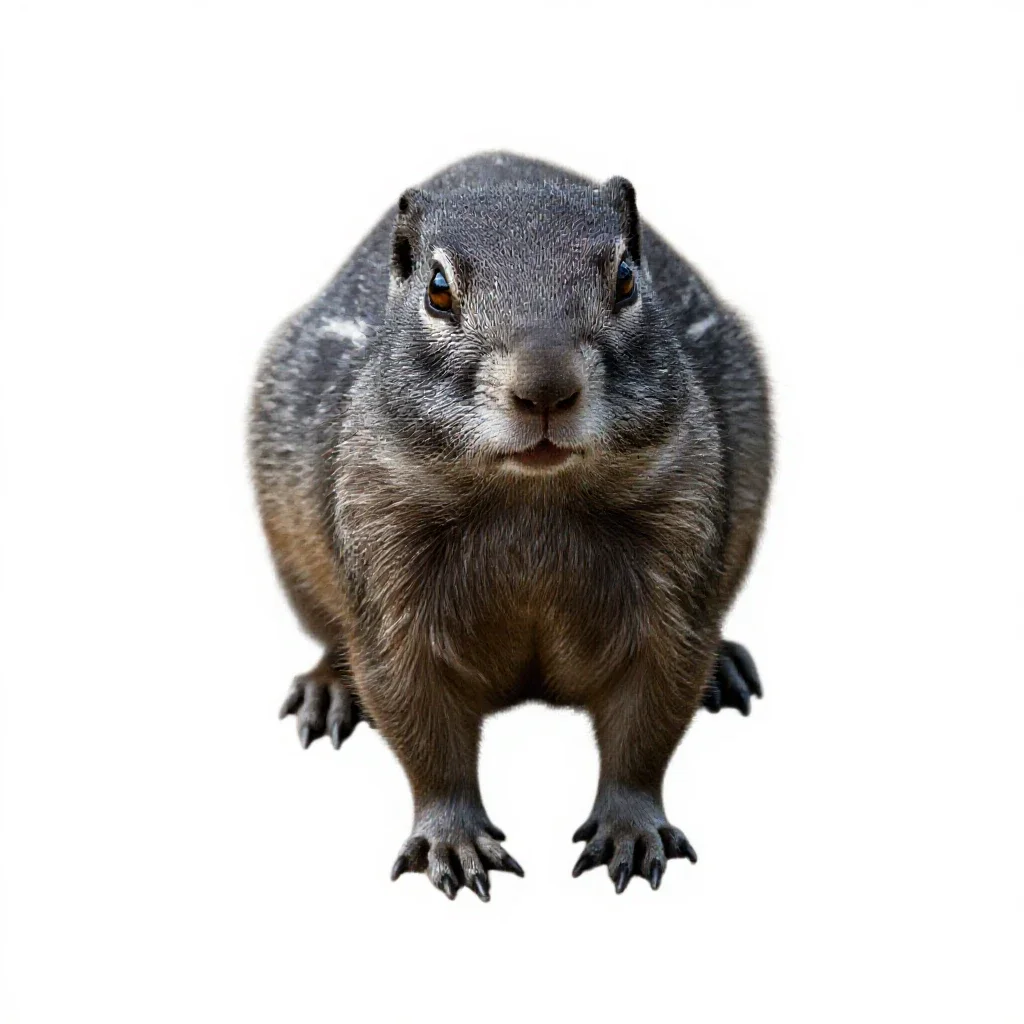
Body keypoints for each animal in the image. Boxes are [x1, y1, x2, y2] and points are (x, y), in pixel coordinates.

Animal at [249, 152, 773, 900]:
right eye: (438, 290)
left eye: (626, 277)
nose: (545, 387)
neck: (531, 499)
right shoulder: (389, 581)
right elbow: (418, 719)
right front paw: (452, 838)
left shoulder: (676, 571)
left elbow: (651, 713)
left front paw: (632, 826)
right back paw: (327, 688)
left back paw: (726, 668)